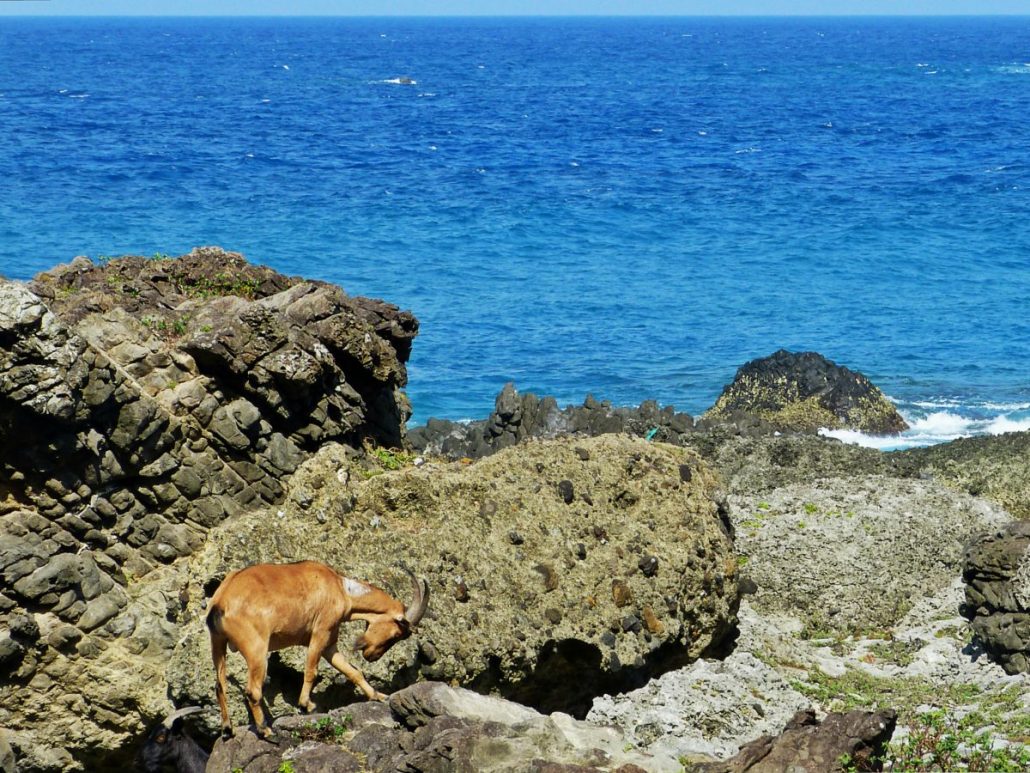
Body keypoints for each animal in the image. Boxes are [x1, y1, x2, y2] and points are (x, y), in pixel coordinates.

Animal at [202, 564, 428, 737]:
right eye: (397, 634)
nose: (372, 656)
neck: (342, 589)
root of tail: (221, 601)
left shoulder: (329, 644)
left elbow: (352, 671)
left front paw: (378, 695)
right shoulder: (320, 632)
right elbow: (311, 670)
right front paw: (306, 705)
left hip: (217, 643)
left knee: (219, 686)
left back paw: (227, 730)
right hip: (256, 649)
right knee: (252, 690)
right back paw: (265, 730)